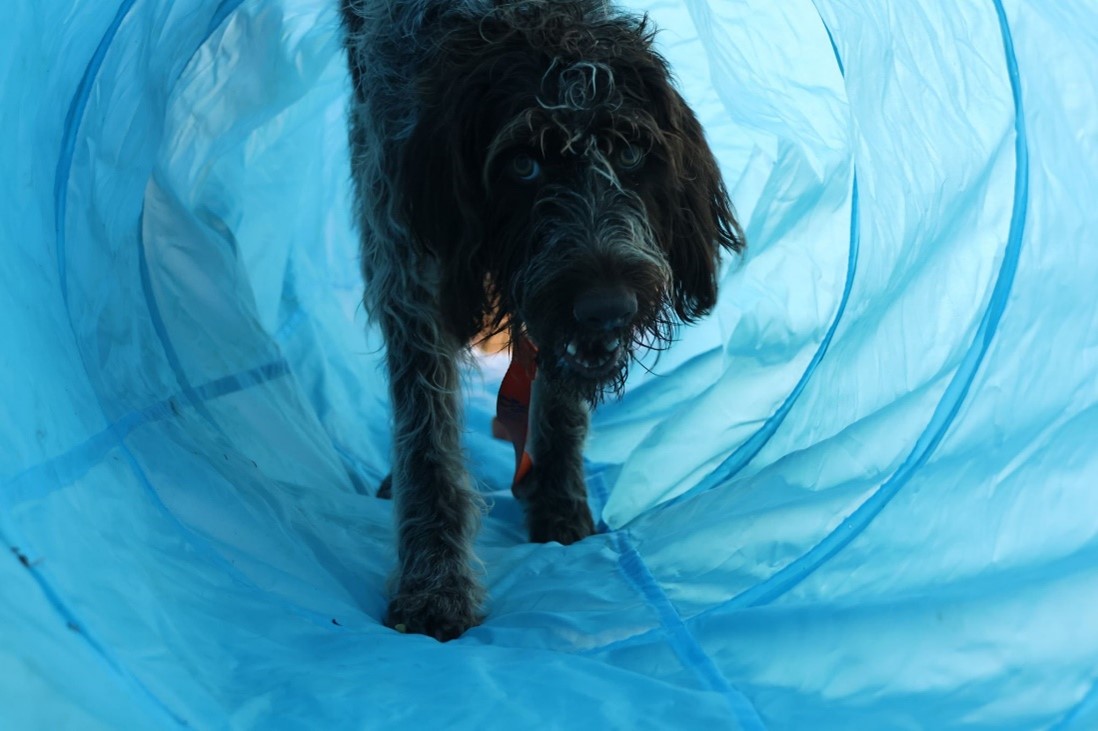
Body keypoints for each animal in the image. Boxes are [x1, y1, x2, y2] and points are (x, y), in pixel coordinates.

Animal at [338, 0, 742, 636]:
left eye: (630, 154)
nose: (608, 308)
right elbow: (425, 435)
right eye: (523, 165)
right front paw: (435, 584)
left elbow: (560, 398)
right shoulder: (404, 253)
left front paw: (558, 498)